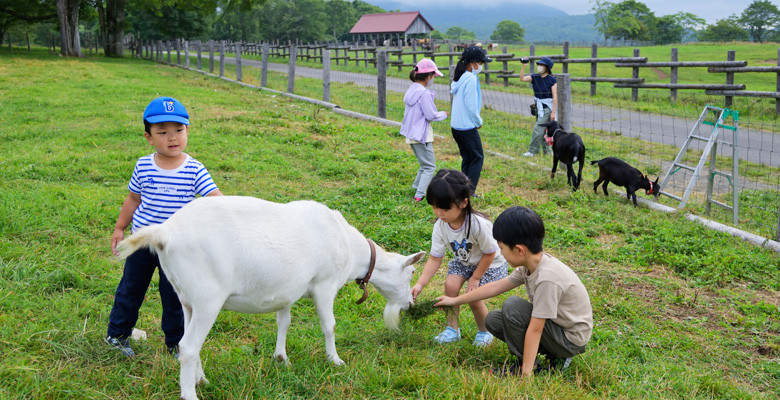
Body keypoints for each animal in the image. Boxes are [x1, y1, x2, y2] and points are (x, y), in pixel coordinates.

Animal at [114, 195, 426, 398]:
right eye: (411, 273)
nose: (410, 304)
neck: (350, 248)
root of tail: (164, 233)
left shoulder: (285, 292)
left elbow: (283, 322)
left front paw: (281, 358)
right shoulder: (324, 284)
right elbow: (329, 325)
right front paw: (335, 360)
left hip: (186, 295)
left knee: (186, 340)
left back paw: (201, 379)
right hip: (208, 297)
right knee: (189, 345)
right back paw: (190, 393)